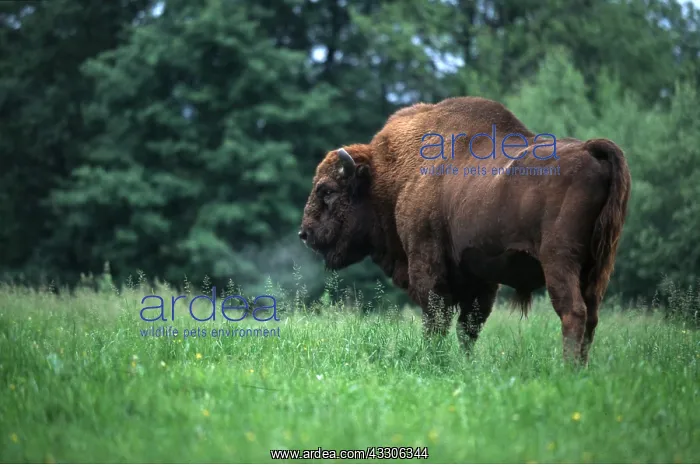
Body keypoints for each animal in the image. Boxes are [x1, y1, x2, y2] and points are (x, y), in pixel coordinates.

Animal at [299, 96, 631, 365]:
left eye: (327, 190)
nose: (305, 233)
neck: (390, 177)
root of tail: (590, 151)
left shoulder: (428, 266)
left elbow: (437, 320)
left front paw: (433, 359)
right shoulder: (480, 279)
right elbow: (468, 327)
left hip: (560, 260)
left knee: (572, 312)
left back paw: (567, 369)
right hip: (596, 267)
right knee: (592, 315)